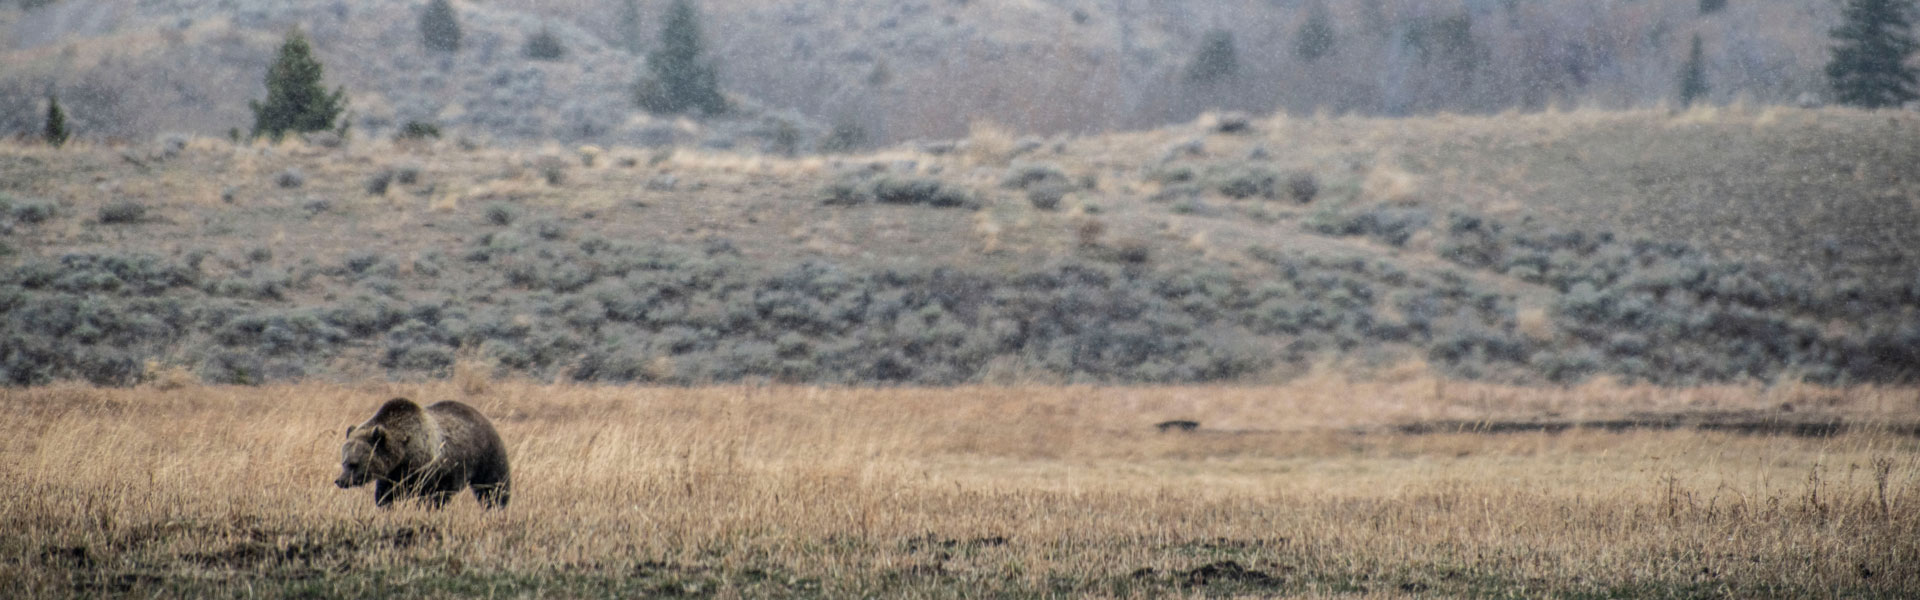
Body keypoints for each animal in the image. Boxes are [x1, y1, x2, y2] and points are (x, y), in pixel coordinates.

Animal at [334, 397, 511, 510]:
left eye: (354, 463)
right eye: (344, 461)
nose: (340, 481)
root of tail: (480, 415)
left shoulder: (428, 471)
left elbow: (431, 496)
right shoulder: (393, 475)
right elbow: (386, 495)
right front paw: (386, 506)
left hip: (486, 454)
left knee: (493, 486)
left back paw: (497, 505)